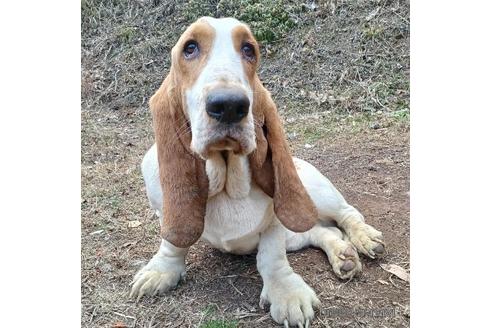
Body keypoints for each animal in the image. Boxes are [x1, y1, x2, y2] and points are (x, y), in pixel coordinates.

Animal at [131, 17, 384, 326]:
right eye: (189, 48)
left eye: (249, 49)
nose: (229, 105)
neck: (227, 180)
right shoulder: (163, 210)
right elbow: (172, 243)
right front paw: (161, 270)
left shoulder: (275, 223)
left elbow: (271, 258)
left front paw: (286, 293)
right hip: (300, 231)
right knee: (323, 232)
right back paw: (343, 255)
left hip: (316, 193)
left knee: (347, 214)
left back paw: (364, 238)